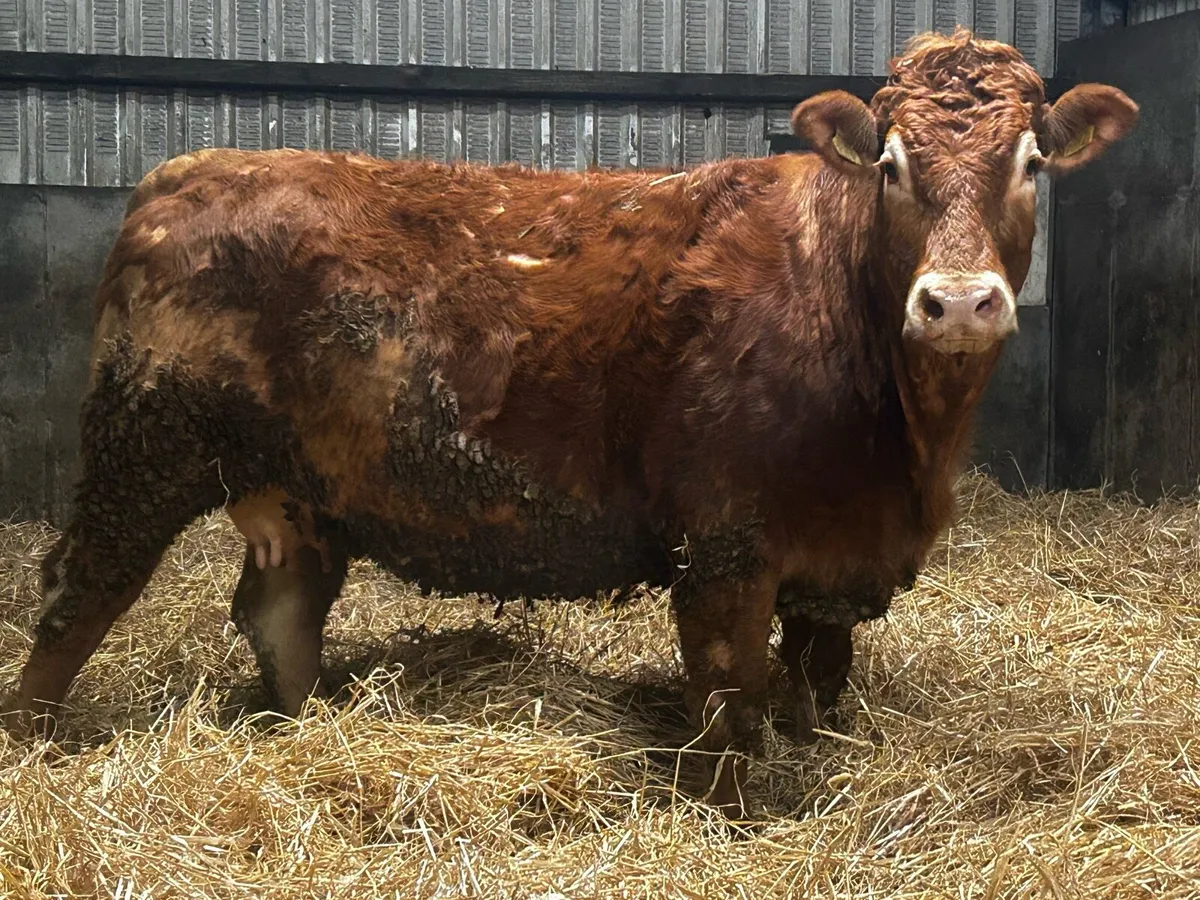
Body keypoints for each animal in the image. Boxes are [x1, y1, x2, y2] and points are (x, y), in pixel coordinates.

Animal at [5, 29, 1136, 818]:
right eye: (891, 165)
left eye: (1033, 164)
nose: (958, 302)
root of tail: (184, 172)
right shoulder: (725, 545)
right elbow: (730, 694)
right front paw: (739, 814)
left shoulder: (839, 559)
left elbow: (818, 685)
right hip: (144, 447)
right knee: (79, 593)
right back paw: (36, 743)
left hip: (300, 487)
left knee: (280, 611)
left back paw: (297, 728)